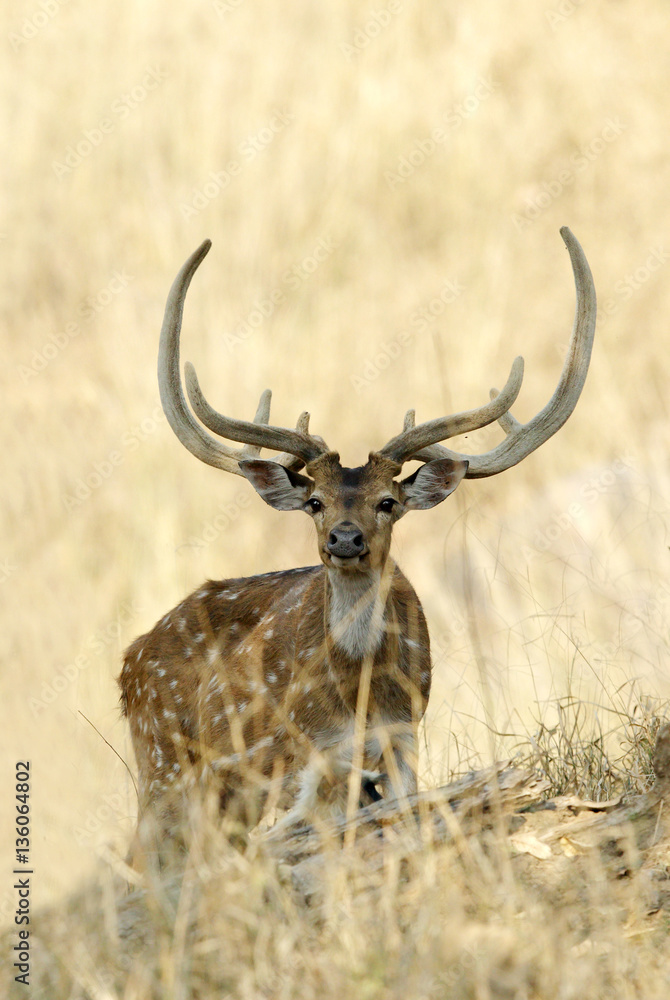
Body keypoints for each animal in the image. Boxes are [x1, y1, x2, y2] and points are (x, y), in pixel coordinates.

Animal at [119, 227, 596, 855]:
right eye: (315, 502)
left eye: (386, 502)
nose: (345, 539)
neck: (361, 696)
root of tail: (128, 665)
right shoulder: (311, 751)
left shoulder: (404, 737)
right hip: (166, 763)